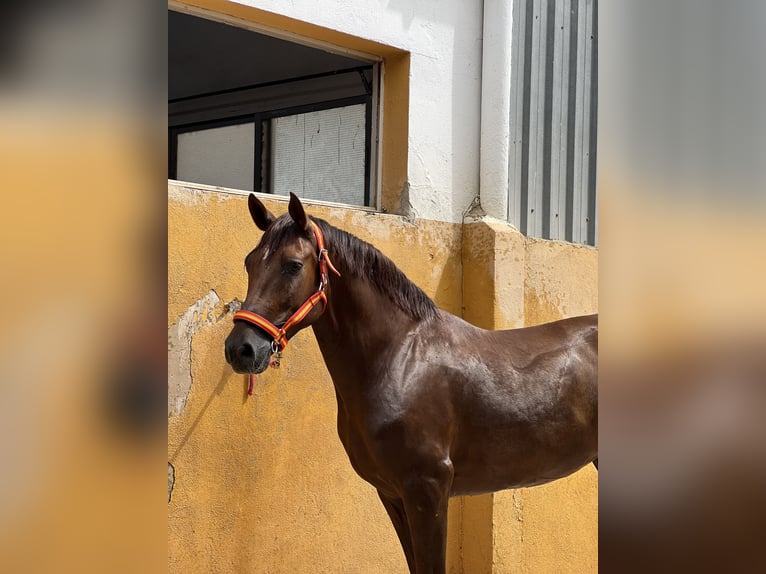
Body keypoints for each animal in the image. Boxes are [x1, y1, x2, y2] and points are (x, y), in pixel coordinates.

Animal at [225, 193, 598, 574]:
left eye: (293, 265)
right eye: (249, 262)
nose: (240, 349)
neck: (400, 358)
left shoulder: (427, 490)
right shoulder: (392, 493)